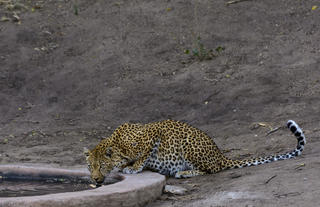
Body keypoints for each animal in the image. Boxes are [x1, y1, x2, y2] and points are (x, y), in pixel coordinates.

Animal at [84, 119, 304, 184]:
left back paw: (183, 172)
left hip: (188, 146)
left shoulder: (154, 132)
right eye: (89, 167)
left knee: (211, 170)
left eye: (101, 166)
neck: (117, 143)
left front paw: (133, 167)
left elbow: (144, 154)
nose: (94, 179)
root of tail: (220, 155)